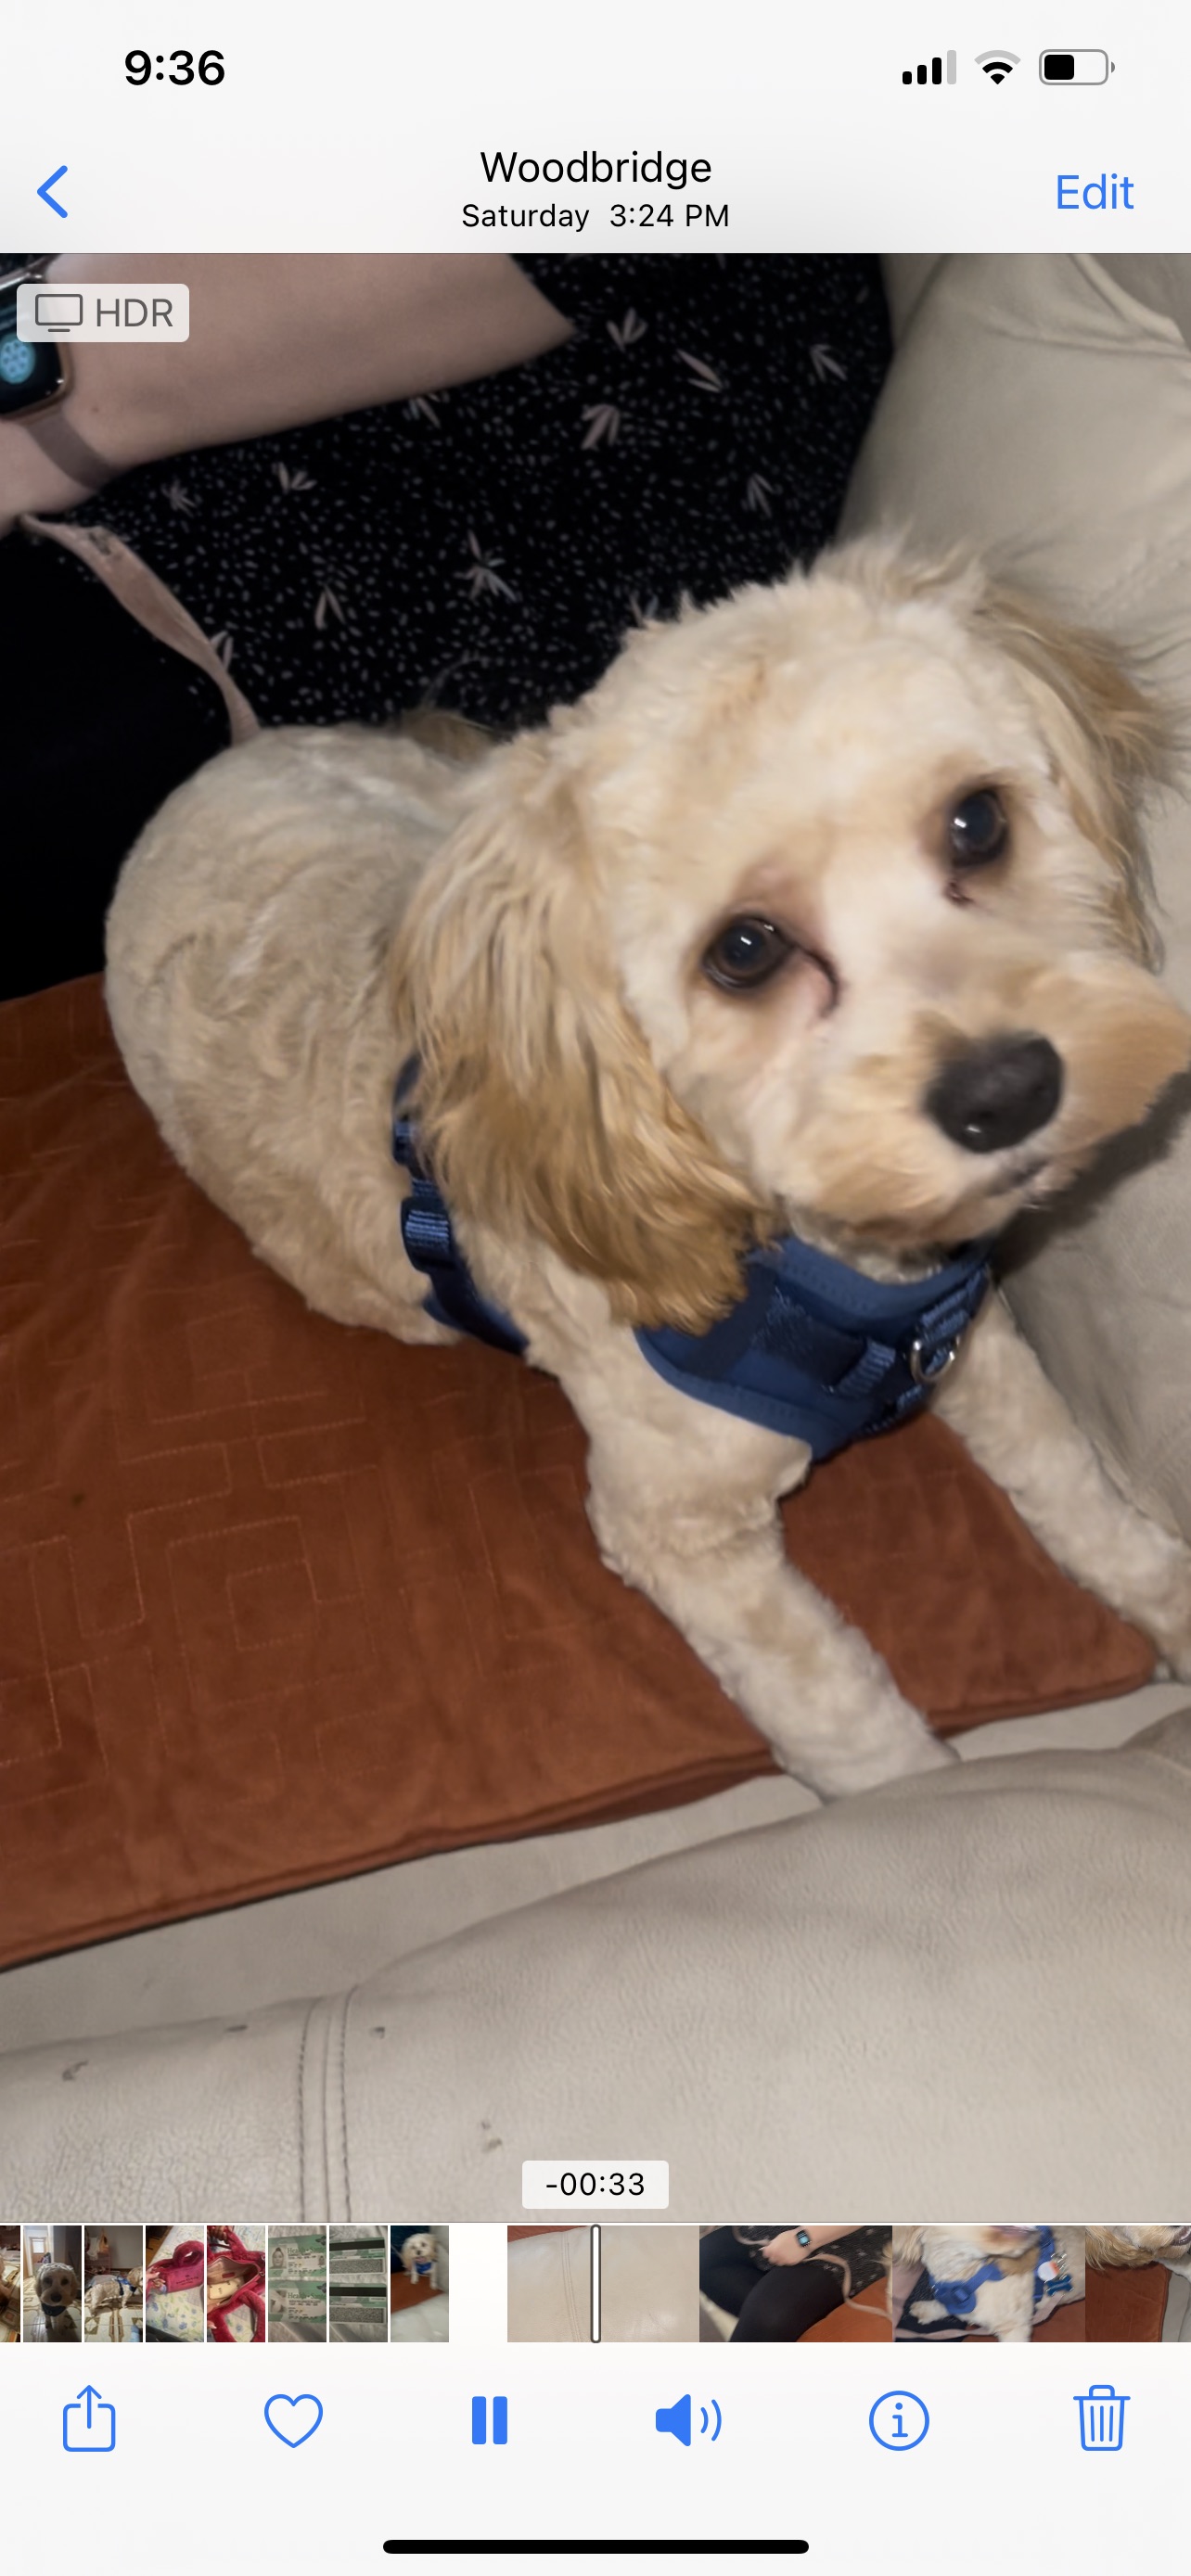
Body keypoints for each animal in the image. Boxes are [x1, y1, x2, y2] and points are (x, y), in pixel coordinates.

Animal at [106, 543, 1191, 1798]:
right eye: (745, 951)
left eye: (977, 823)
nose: (1008, 1092)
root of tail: (218, 759)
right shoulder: (679, 1530)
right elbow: (848, 1722)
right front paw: (919, 1801)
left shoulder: (975, 1347)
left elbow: (1077, 1488)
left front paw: (1168, 1597)